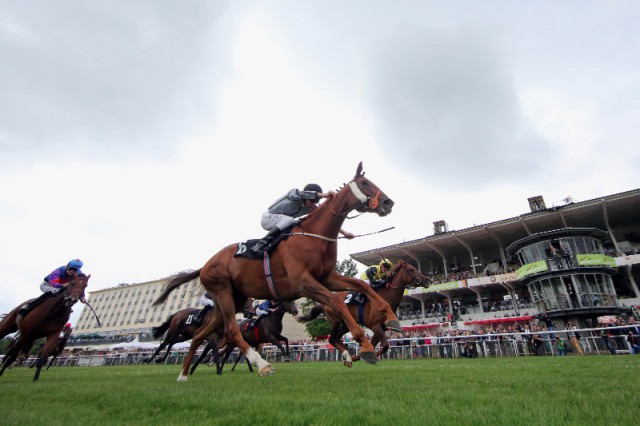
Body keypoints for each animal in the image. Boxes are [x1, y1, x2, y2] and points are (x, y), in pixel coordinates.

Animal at [153, 162, 398, 380]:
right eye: (365, 183)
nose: (388, 202)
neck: (314, 236)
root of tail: (204, 265)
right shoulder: (304, 283)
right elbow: (337, 301)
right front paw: (364, 345)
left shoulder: (327, 277)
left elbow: (362, 285)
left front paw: (391, 317)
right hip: (222, 292)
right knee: (230, 331)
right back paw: (261, 364)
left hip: (231, 301)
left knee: (200, 336)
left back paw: (183, 375)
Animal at [296, 258, 428, 368]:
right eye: (411, 269)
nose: (427, 279)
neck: (386, 298)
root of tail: (323, 304)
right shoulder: (375, 325)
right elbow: (384, 345)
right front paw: (359, 356)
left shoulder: (381, 328)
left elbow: (378, 345)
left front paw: (360, 356)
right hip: (336, 320)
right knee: (332, 339)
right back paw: (347, 356)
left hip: (346, 324)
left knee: (337, 338)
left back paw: (348, 356)